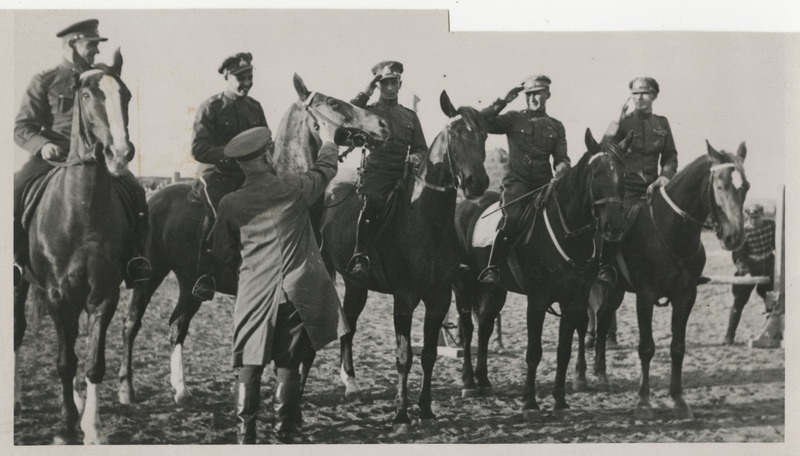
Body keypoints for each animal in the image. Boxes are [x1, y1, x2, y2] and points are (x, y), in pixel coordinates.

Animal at [14, 50, 136, 446]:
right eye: (85, 95)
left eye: (125, 96)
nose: (120, 153)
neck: (82, 209)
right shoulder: (58, 296)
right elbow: (65, 363)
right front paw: (66, 427)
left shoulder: (104, 294)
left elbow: (93, 363)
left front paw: (92, 428)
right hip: (19, 283)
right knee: (18, 332)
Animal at [117, 75, 390, 406]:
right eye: (333, 103)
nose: (382, 125)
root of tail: (151, 199)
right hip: (149, 274)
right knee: (131, 324)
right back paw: (126, 390)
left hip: (189, 281)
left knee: (177, 326)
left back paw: (181, 389)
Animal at [322, 92, 490, 432]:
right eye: (455, 134)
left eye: (484, 135)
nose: (476, 183)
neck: (426, 219)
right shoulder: (404, 299)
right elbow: (403, 356)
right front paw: (401, 413)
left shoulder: (439, 298)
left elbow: (428, 354)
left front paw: (424, 409)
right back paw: (348, 383)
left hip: (356, 284)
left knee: (350, 324)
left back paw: (351, 382)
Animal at [450, 129, 632, 420]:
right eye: (595, 174)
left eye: (624, 175)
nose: (614, 227)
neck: (566, 230)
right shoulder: (537, 299)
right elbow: (534, 351)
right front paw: (530, 403)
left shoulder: (574, 300)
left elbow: (563, 350)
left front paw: (560, 400)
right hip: (462, 284)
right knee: (467, 329)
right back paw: (468, 382)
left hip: (494, 289)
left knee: (485, 328)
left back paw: (484, 381)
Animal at [588, 140, 752, 420]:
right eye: (720, 185)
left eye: (746, 187)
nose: (735, 237)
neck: (670, 229)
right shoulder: (645, 297)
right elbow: (646, 347)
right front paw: (643, 402)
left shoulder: (686, 296)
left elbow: (678, 348)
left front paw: (679, 400)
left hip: (615, 289)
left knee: (603, 318)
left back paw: (601, 373)